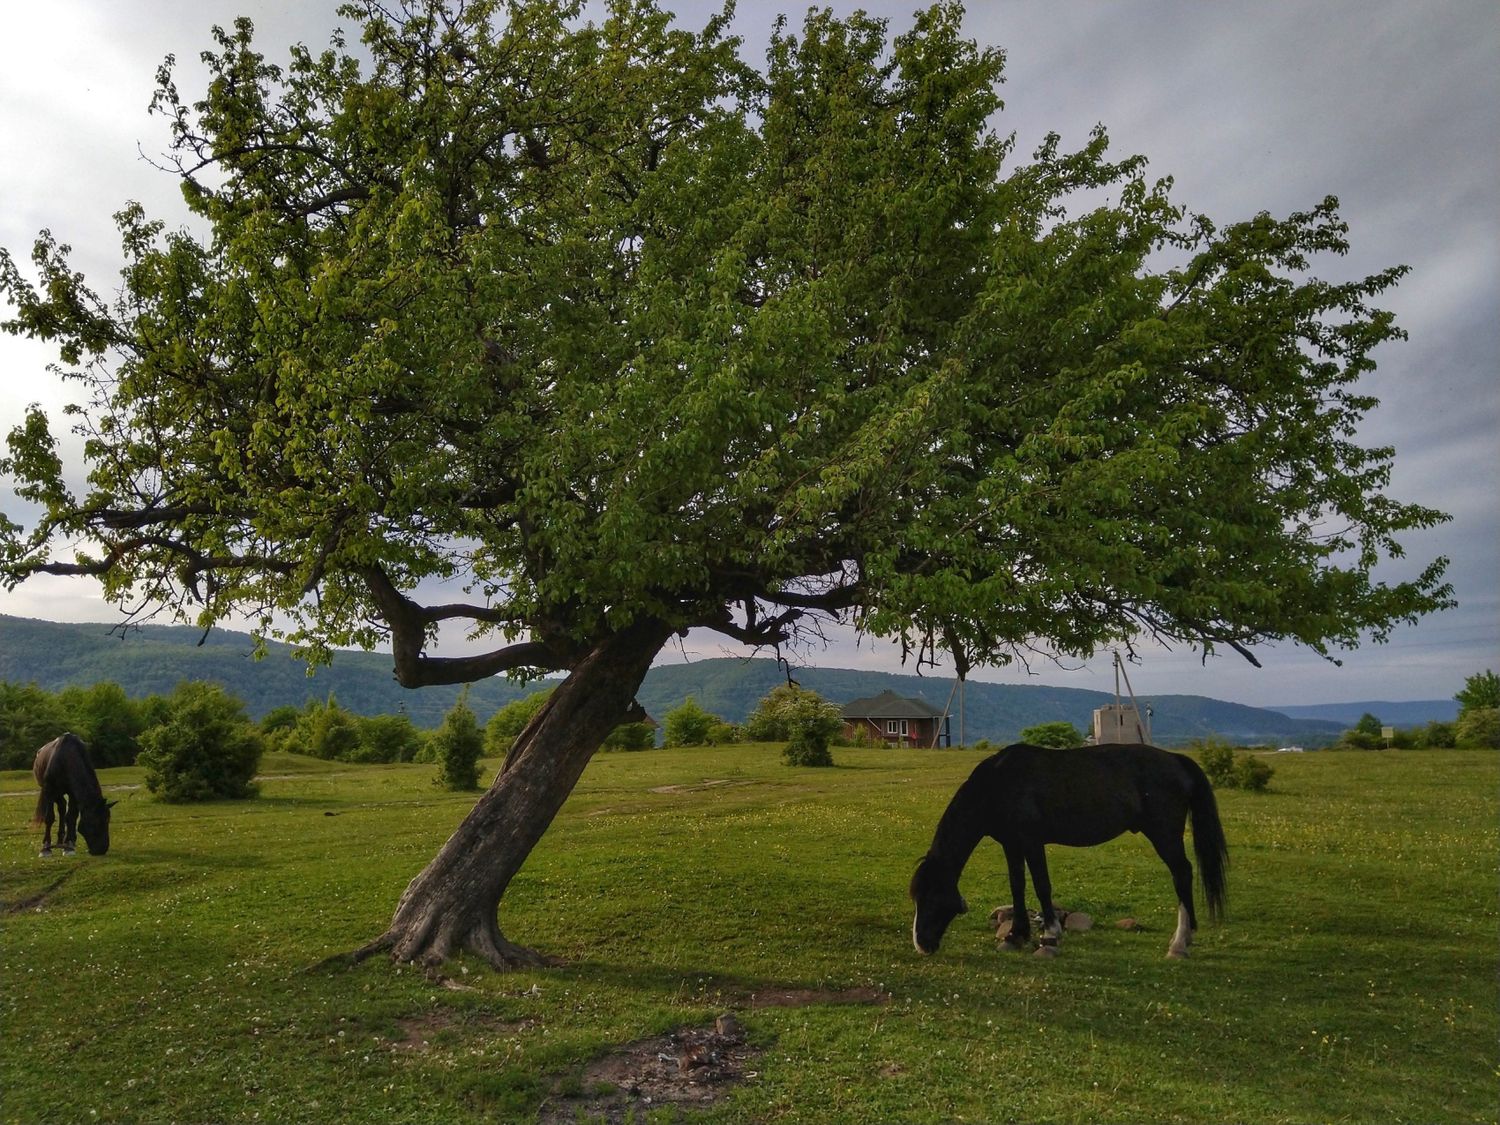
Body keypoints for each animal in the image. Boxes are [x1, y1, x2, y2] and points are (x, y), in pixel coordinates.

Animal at [906, 750, 1224, 960]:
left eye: (931, 898)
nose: (921, 944)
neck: (999, 783)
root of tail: (1176, 759)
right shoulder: (1012, 844)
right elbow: (1017, 886)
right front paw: (1015, 936)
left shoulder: (1031, 841)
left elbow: (1042, 886)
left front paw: (1049, 937)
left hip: (1165, 835)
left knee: (1182, 874)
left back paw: (1179, 943)